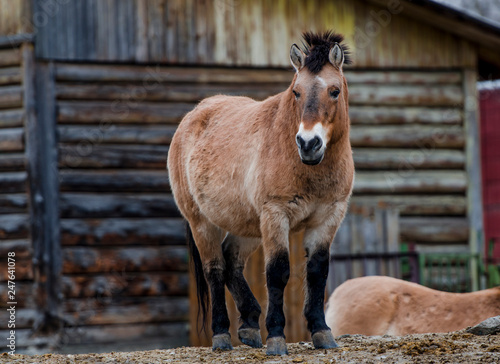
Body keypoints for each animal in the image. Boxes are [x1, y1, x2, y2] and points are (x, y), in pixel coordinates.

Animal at [166, 31, 354, 356]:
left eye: (334, 91)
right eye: (296, 92)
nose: (308, 143)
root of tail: (193, 116)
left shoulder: (329, 217)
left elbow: (317, 272)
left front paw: (321, 332)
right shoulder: (276, 215)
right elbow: (277, 273)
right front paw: (277, 338)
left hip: (248, 227)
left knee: (231, 261)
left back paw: (250, 325)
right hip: (203, 223)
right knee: (215, 269)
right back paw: (221, 335)